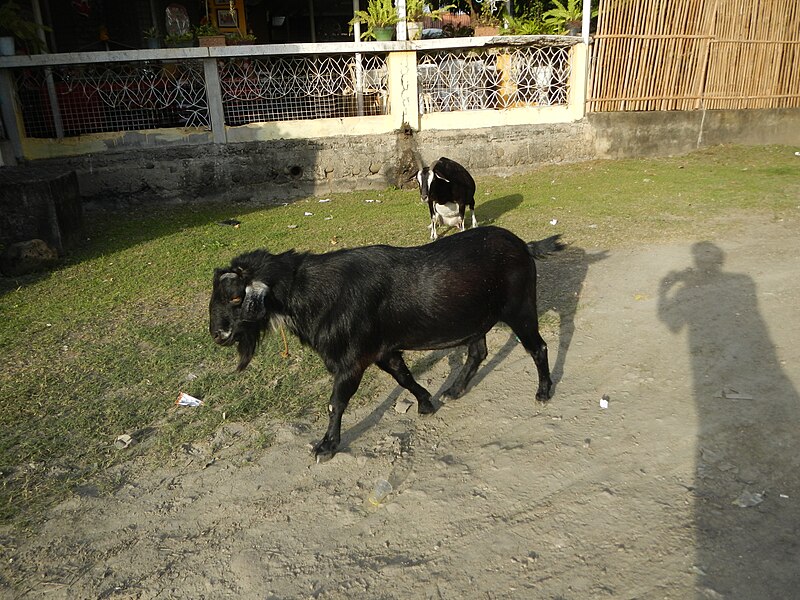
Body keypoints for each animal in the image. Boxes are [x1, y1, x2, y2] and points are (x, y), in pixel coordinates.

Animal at [209, 226, 564, 460]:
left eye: (236, 297)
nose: (217, 334)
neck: (314, 293)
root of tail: (524, 246)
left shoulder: (351, 360)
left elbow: (336, 402)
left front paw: (326, 446)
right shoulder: (382, 351)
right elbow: (403, 376)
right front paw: (426, 403)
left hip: (519, 308)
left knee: (538, 347)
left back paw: (543, 391)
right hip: (476, 317)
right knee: (478, 351)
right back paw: (454, 390)